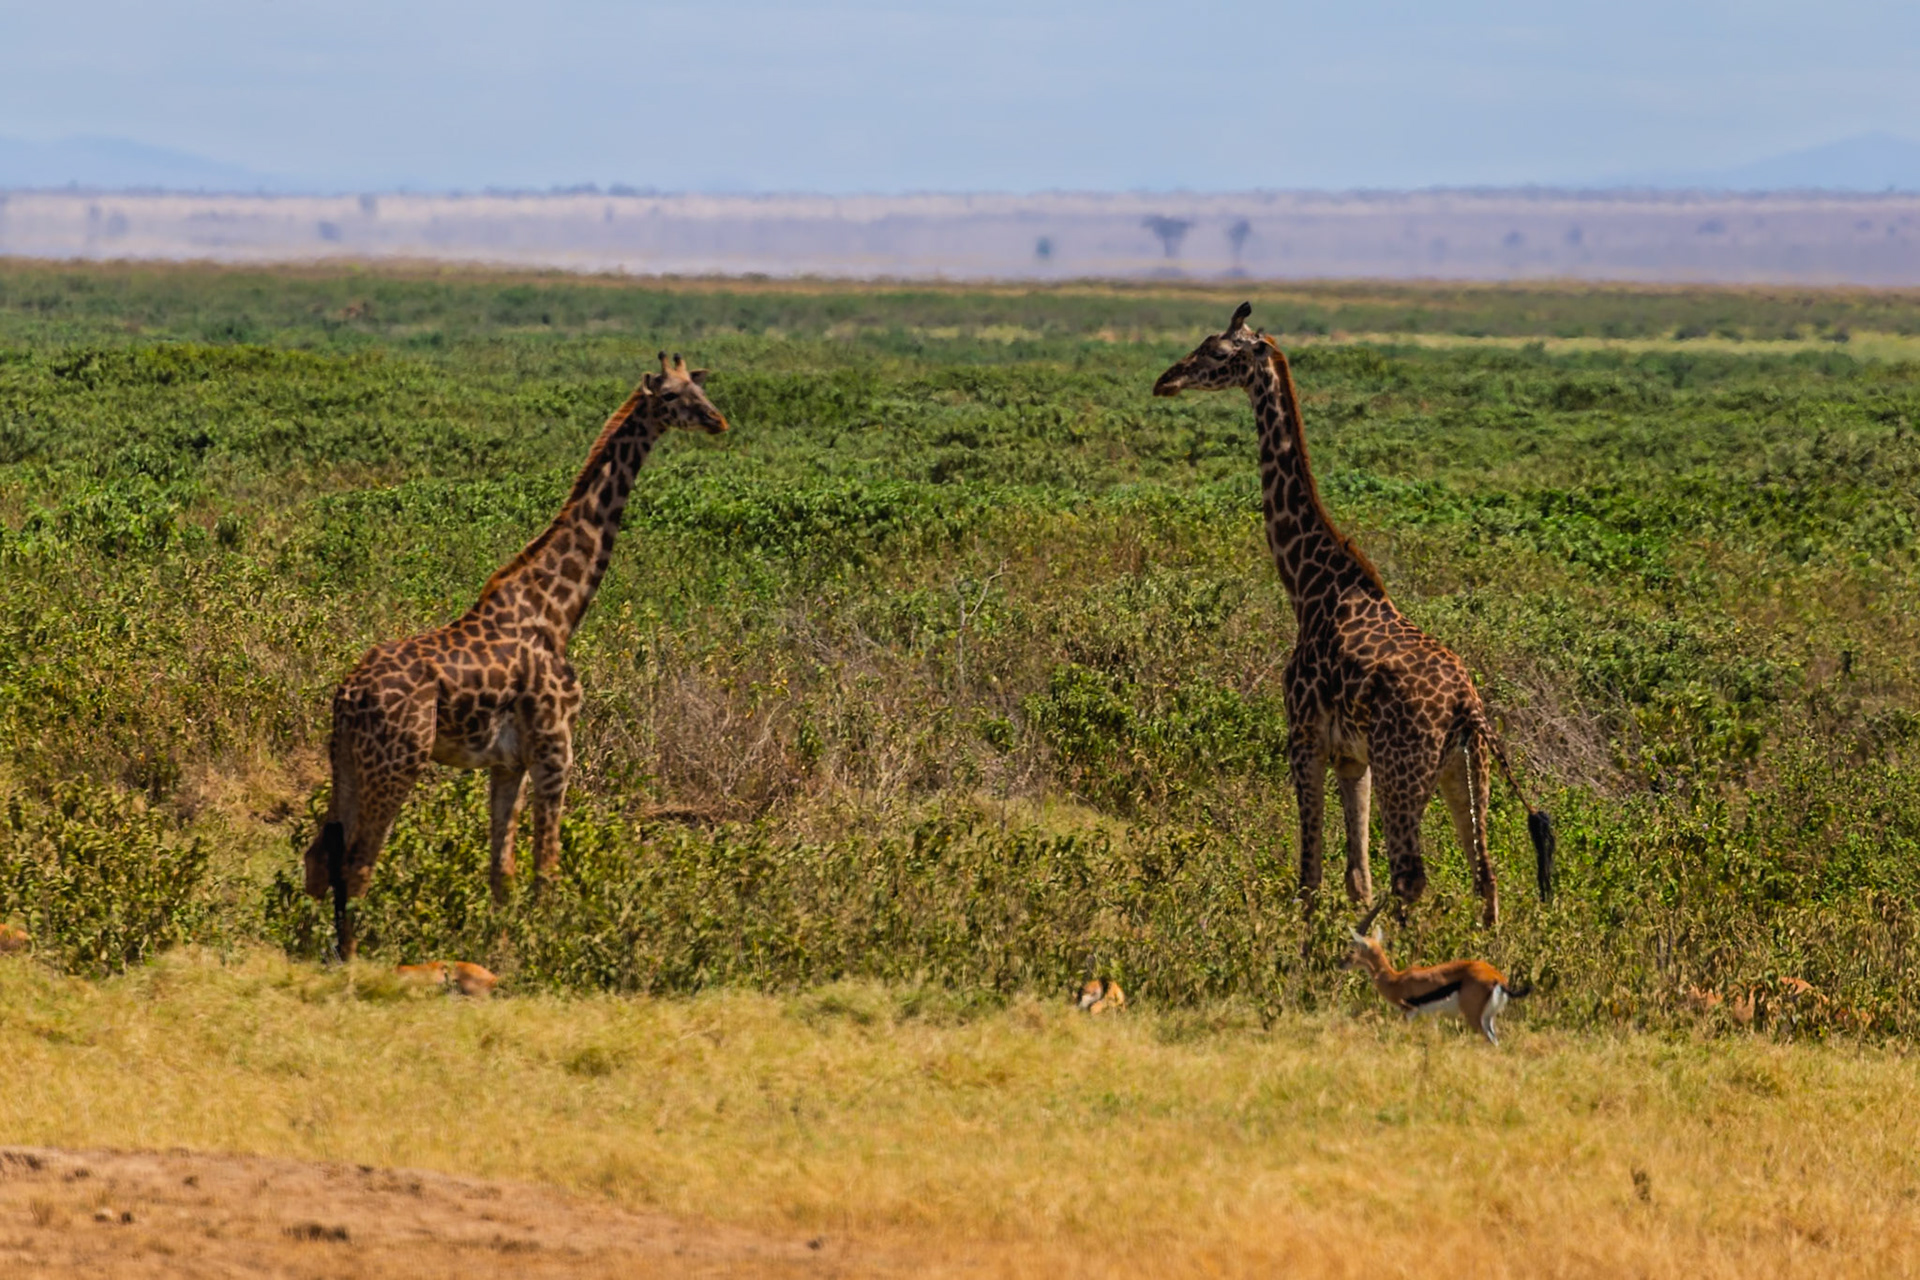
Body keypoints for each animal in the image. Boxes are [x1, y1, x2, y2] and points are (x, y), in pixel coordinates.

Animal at [303, 352, 728, 959]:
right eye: (671, 396)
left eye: (700, 388)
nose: (718, 421)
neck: (559, 610)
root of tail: (345, 696)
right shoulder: (556, 747)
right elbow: (545, 866)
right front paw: (548, 947)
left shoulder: (508, 763)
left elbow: (499, 869)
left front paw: (503, 945)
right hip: (397, 763)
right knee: (358, 863)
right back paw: (355, 960)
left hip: (346, 761)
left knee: (321, 855)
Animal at [1153, 304, 1554, 926]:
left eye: (1216, 353)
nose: (1166, 380)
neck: (1309, 585)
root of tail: (1468, 708)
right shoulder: (1351, 757)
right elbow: (1356, 875)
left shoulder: (1303, 736)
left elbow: (1310, 875)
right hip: (1465, 773)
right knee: (1484, 878)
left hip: (1403, 769)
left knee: (1413, 875)